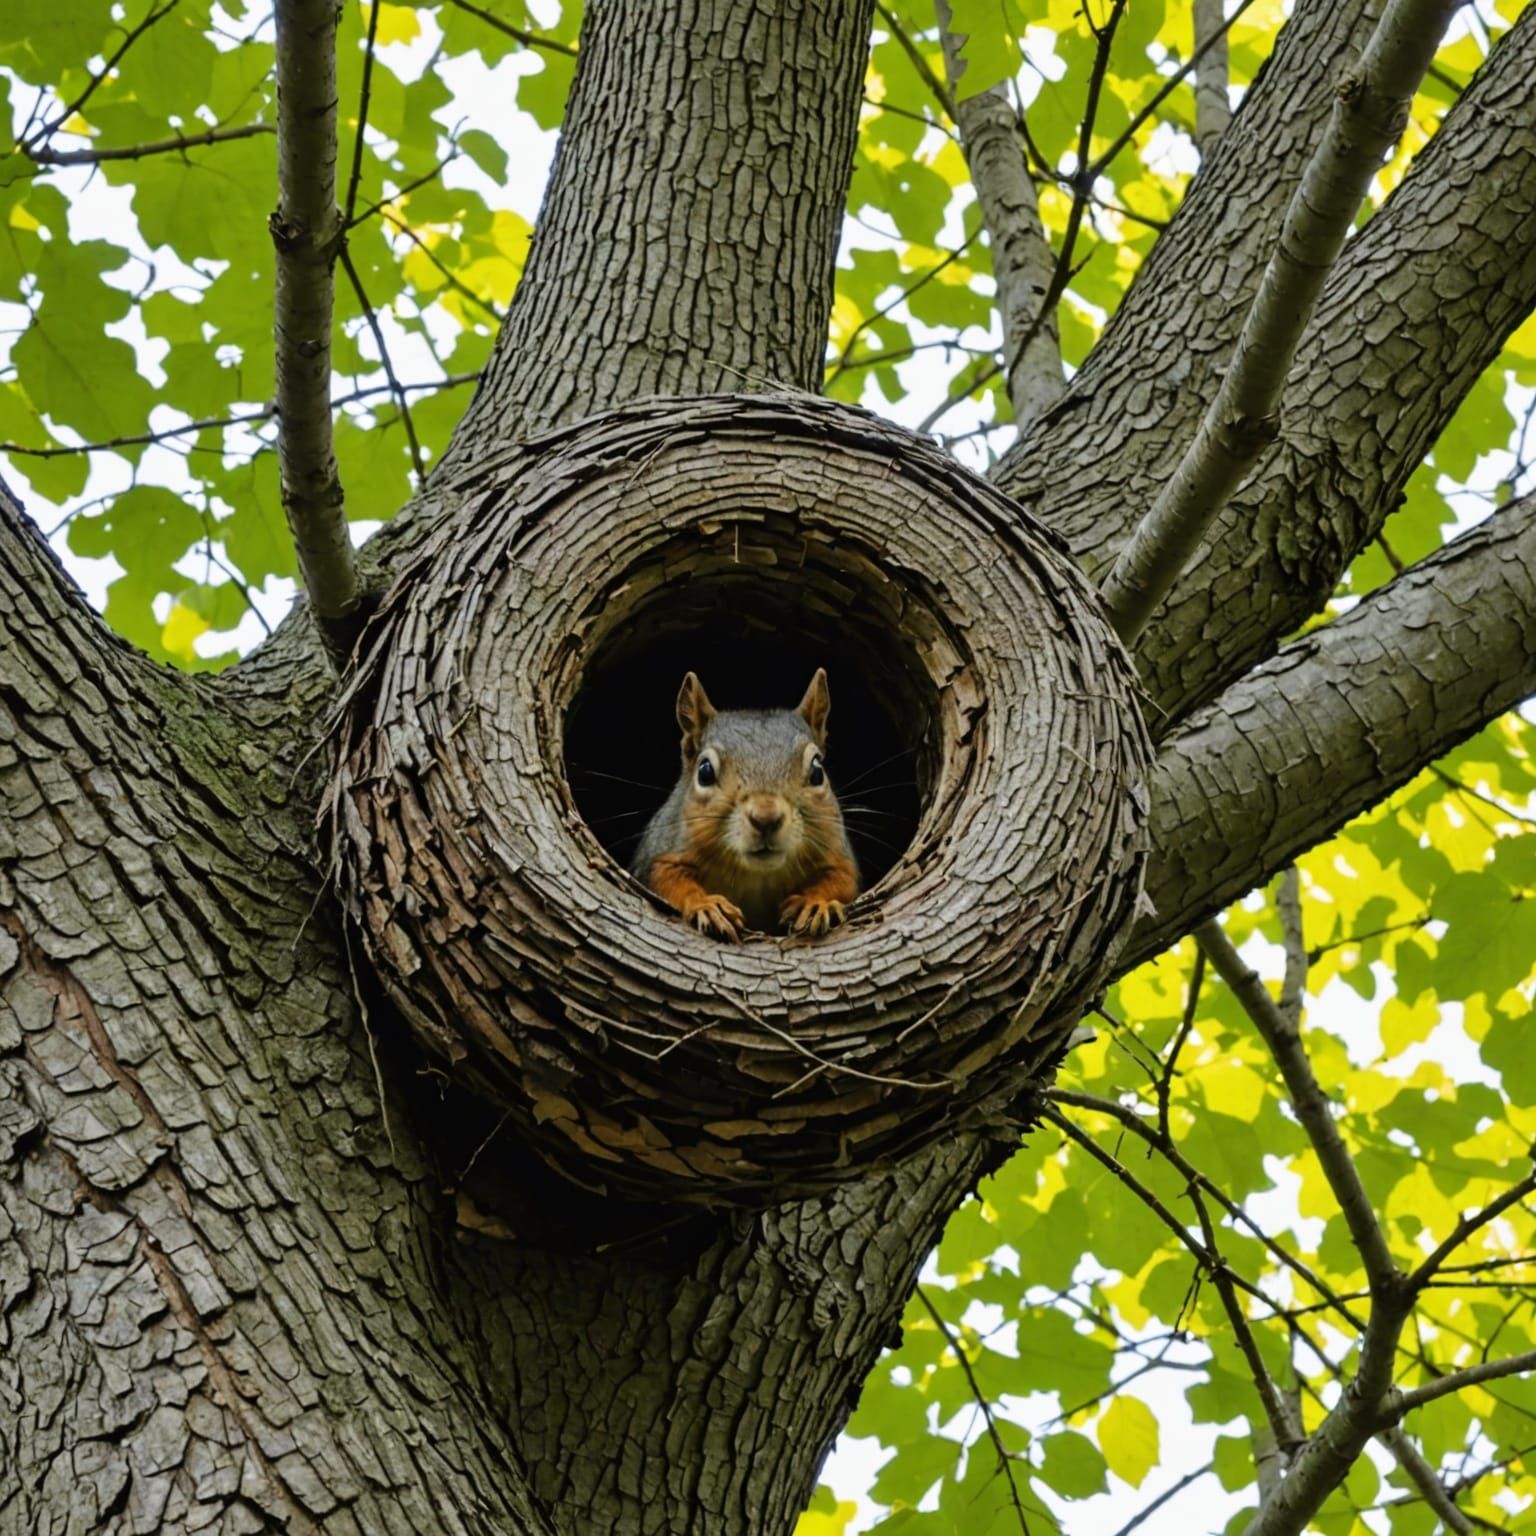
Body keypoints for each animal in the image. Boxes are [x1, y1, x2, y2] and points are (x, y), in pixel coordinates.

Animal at [630, 669, 861, 942]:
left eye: (817, 772)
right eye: (705, 772)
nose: (766, 818)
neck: (756, 875)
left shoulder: (836, 851)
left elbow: (842, 879)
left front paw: (814, 903)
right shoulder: (662, 849)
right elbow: (667, 879)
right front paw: (707, 905)